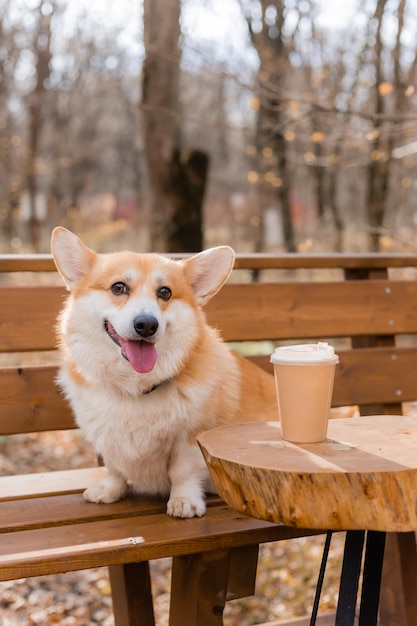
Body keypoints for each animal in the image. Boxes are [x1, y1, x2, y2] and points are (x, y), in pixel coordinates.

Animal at [52, 228, 278, 516]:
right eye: (118, 287)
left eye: (165, 292)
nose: (147, 324)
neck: (135, 388)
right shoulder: (107, 438)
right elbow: (115, 468)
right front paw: (110, 490)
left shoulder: (191, 438)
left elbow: (182, 471)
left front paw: (183, 502)